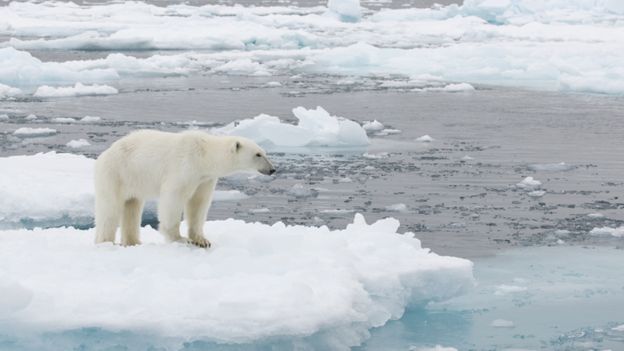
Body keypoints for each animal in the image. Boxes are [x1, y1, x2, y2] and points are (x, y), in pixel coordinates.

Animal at [94, 131, 274, 249]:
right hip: (116, 173)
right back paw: (106, 242)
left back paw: (133, 242)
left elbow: (198, 203)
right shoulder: (185, 167)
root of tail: (104, 154)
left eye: (264, 152)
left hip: (133, 180)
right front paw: (180, 239)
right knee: (110, 209)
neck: (204, 155)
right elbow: (173, 198)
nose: (272, 169)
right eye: (258, 154)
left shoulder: (204, 178)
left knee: (132, 206)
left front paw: (202, 240)